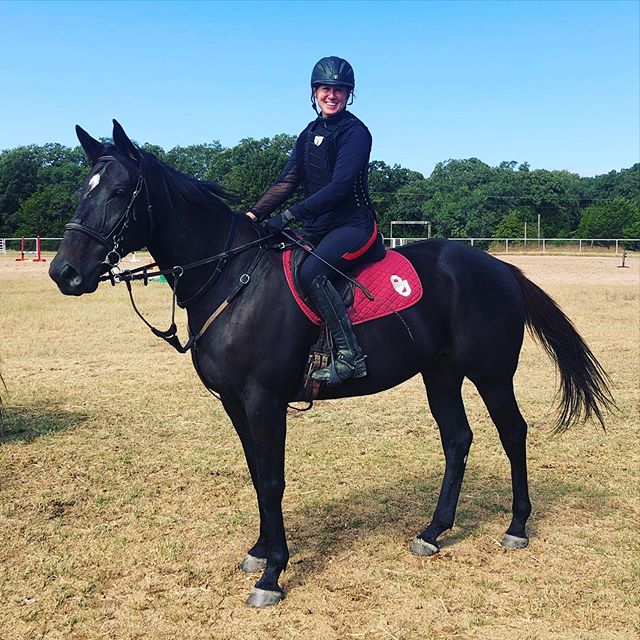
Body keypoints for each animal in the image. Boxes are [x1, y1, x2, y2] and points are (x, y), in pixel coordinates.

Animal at [48, 122, 608, 608]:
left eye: (120, 191)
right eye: (80, 190)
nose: (64, 272)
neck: (233, 276)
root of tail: (499, 266)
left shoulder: (263, 399)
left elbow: (272, 479)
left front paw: (273, 574)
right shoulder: (234, 402)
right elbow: (256, 472)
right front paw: (259, 552)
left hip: (491, 374)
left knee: (513, 432)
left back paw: (516, 528)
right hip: (440, 372)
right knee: (457, 439)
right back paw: (433, 532)